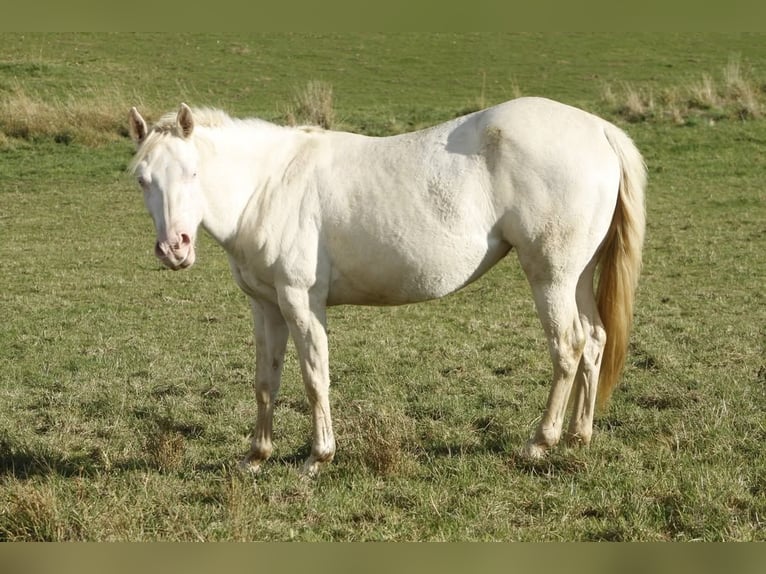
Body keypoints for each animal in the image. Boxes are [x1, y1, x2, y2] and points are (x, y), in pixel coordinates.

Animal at [128, 97, 645, 476]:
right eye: (142, 180)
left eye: (193, 172)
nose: (174, 248)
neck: (269, 185)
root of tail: (599, 130)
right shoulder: (266, 305)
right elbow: (265, 382)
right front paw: (256, 456)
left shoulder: (301, 301)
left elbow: (315, 377)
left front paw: (318, 458)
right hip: (577, 276)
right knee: (594, 340)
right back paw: (579, 436)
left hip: (551, 277)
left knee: (568, 346)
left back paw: (540, 443)